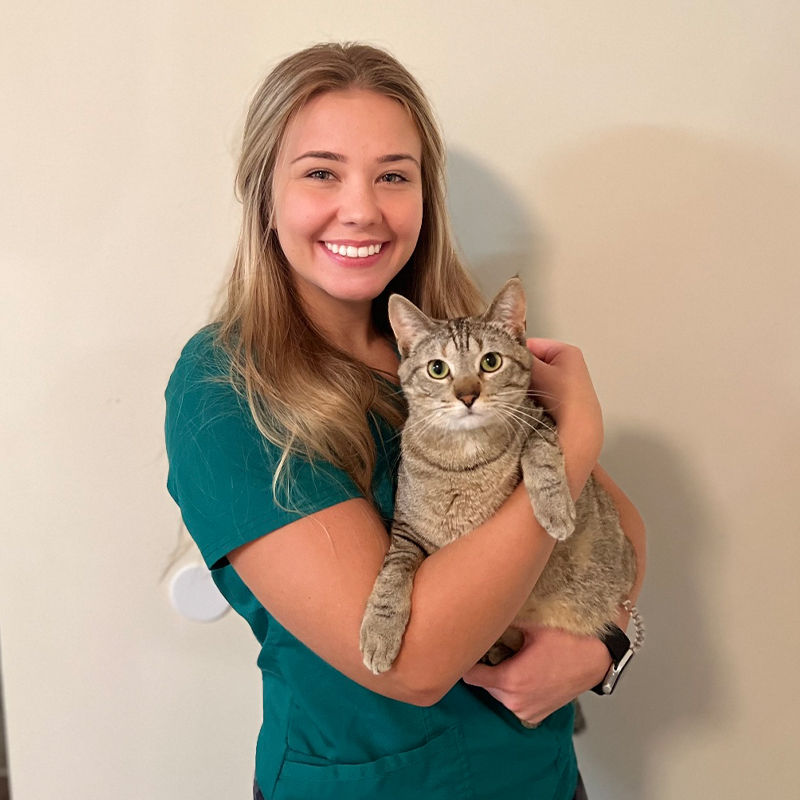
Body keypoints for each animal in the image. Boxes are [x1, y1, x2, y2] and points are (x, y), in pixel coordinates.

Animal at [360, 276, 636, 688]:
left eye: (490, 362)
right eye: (437, 368)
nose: (467, 395)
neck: (464, 463)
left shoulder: (541, 421)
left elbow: (540, 451)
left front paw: (555, 508)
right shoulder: (407, 530)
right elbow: (392, 572)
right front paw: (379, 629)